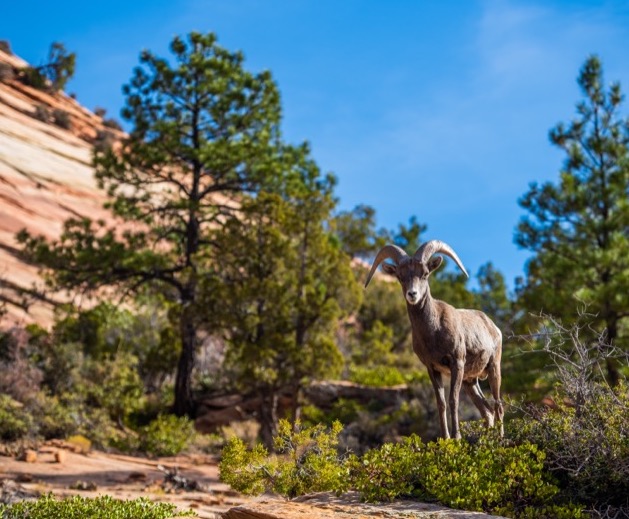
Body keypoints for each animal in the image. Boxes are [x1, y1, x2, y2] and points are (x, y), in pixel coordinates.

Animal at [364, 241, 506, 438]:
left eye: (425, 273)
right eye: (400, 276)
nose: (412, 294)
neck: (433, 330)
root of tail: (494, 328)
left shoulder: (457, 364)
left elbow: (453, 400)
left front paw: (457, 437)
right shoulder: (432, 368)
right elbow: (441, 403)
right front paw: (445, 438)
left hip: (493, 369)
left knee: (498, 407)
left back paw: (500, 439)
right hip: (471, 381)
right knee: (487, 411)